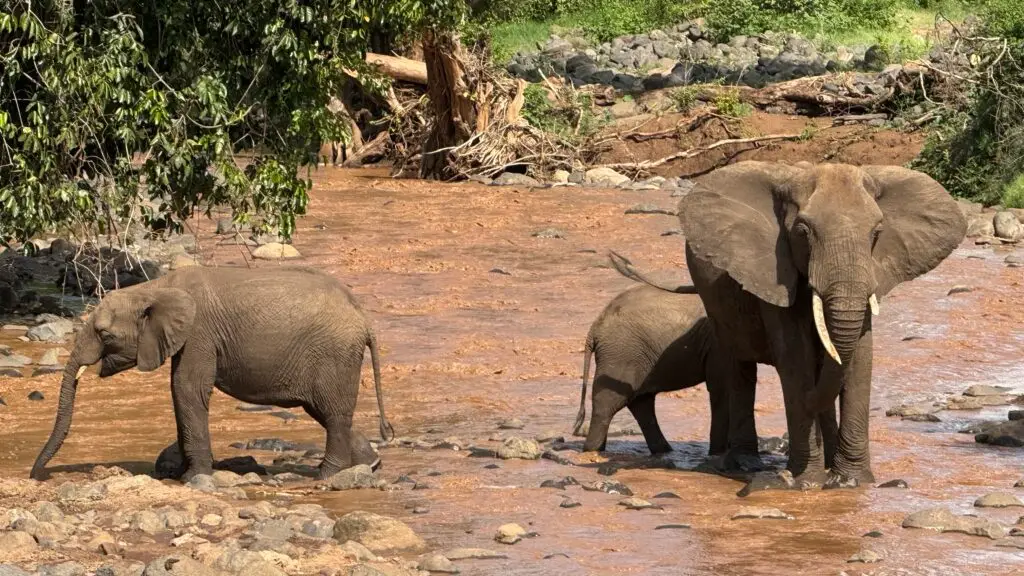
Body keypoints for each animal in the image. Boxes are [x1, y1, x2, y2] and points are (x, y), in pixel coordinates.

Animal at [30, 264, 391, 479]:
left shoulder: (200, 334)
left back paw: (328, 476)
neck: (156, 287)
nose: (36, 476)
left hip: (335, 354)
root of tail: (363, 317)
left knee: (333, 412)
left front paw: (194, 478)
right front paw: (179, 474)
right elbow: (178, 392)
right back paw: (367, 465)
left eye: (104, 334)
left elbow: (187, 389)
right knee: (324, 411)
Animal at [577, 282, 729, 453]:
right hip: (622, 353)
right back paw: (592, 450)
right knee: (609, 403)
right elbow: (722, 388)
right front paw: (718, 454)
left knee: (641, 402)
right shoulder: (717, 345)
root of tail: (595, 327)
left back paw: (664, 451)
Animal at [622, 161, 966, 487]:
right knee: (739, 368)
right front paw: (807, 482)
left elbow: (859, 357)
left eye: (876, 233)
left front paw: (851, 480)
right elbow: (795, 356)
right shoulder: (774, 271)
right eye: (803, 232)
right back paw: (746, 463)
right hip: (717, 303)